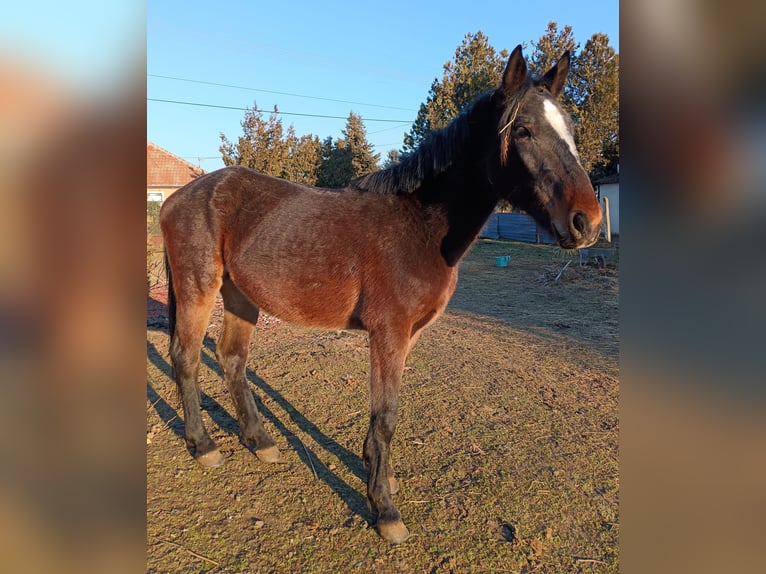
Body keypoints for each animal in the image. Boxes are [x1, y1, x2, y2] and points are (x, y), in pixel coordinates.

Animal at [160, 45, 608, 544]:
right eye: (524, 130)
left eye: (570, 130)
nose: (586, 222)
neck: (421, 226)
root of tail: (178, 197)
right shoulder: (388, 333)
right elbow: (386, 414)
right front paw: (385, 511)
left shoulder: (408, 334)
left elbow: (385, 415)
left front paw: (380, 474)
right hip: (199, 290)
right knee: (187, 357)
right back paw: (203, 445)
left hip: (241, 296)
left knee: (232, 358)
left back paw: (260, 441)